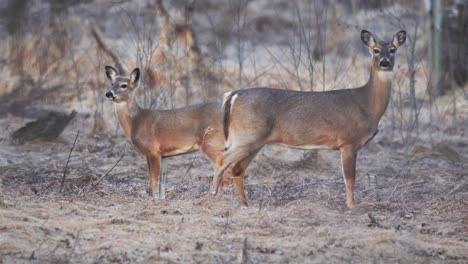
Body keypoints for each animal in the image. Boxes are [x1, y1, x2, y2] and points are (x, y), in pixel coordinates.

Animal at [105, 66, 245, 202]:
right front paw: (162, 199)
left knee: (224, 165)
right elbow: (163, 179)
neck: (136, 121)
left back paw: (216, 196)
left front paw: (154, 200)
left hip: (212, 141)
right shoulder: (164, 155)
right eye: (112, 83)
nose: (109, 93)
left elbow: (154, 178)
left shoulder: (152, 151)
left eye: (124, 85)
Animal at [210, 29, 404, 208]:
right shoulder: (348, 141)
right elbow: (350, 179)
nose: (384, 62)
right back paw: (213, 193)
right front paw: (351, 206)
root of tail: (233, 95)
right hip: (247, 136)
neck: (366, 103)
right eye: (375, 50)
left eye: (393, 50)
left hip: (255, 141)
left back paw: (244, 204)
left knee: (237, 169)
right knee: (222, 159)